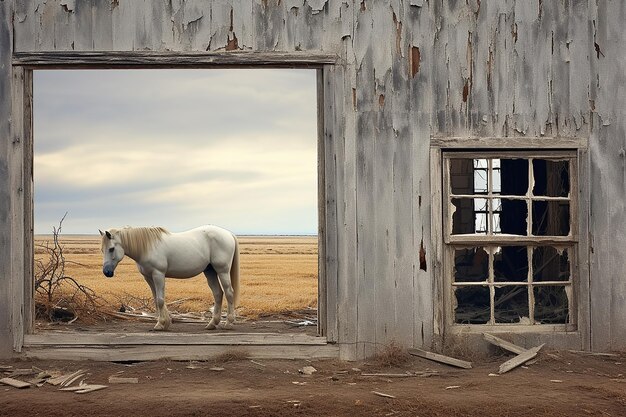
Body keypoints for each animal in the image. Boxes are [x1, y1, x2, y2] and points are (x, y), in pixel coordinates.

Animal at [100, 226, 239, 330]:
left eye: (111, 249)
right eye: (102, 250)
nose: (106, 272)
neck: (148, 247)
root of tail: (229, 234)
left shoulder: (158, 275)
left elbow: (160, 300)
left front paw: (161, 324)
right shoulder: (148, 277)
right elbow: (156, 299)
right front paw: (164, 322)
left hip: (222, 271)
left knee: (229, 293)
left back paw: (228, 323)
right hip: (210, 271)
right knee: (218, 293)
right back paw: (212, 324)